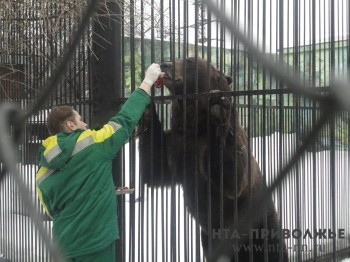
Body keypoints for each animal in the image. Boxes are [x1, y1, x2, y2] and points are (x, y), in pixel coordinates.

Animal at [136, 57, 288, 262]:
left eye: (189, 61)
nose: (165, 64)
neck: (196, 126)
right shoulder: (178, 146)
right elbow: (155, 170)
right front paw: (146, 108)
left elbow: (232, 177)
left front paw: (219, 108)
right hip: (209, 239)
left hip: (262, 226)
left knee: (273, 250)